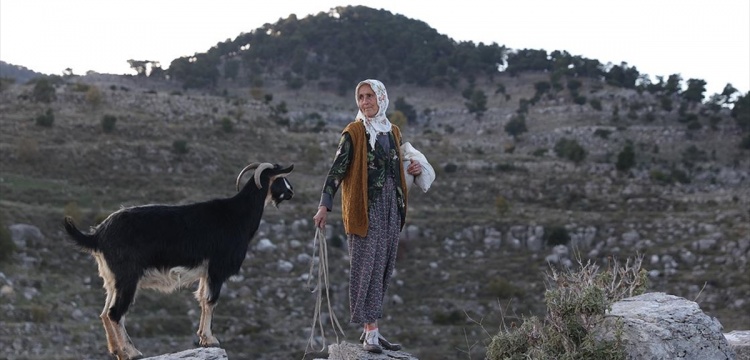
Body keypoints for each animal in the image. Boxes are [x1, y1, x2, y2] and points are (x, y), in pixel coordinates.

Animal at [63, 162, 296, 360]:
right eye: (280, 178)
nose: (291, 192)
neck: (238, 215)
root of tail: (98, 235)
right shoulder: (217, 269)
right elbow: (211, 300)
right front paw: (211, 339)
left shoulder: (205, 272)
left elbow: (202, 299)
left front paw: (203, 337)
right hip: (127, 278)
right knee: (115, 313)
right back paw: (132, 352)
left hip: (112, 279)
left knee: (105, 313)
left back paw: (118, 351)